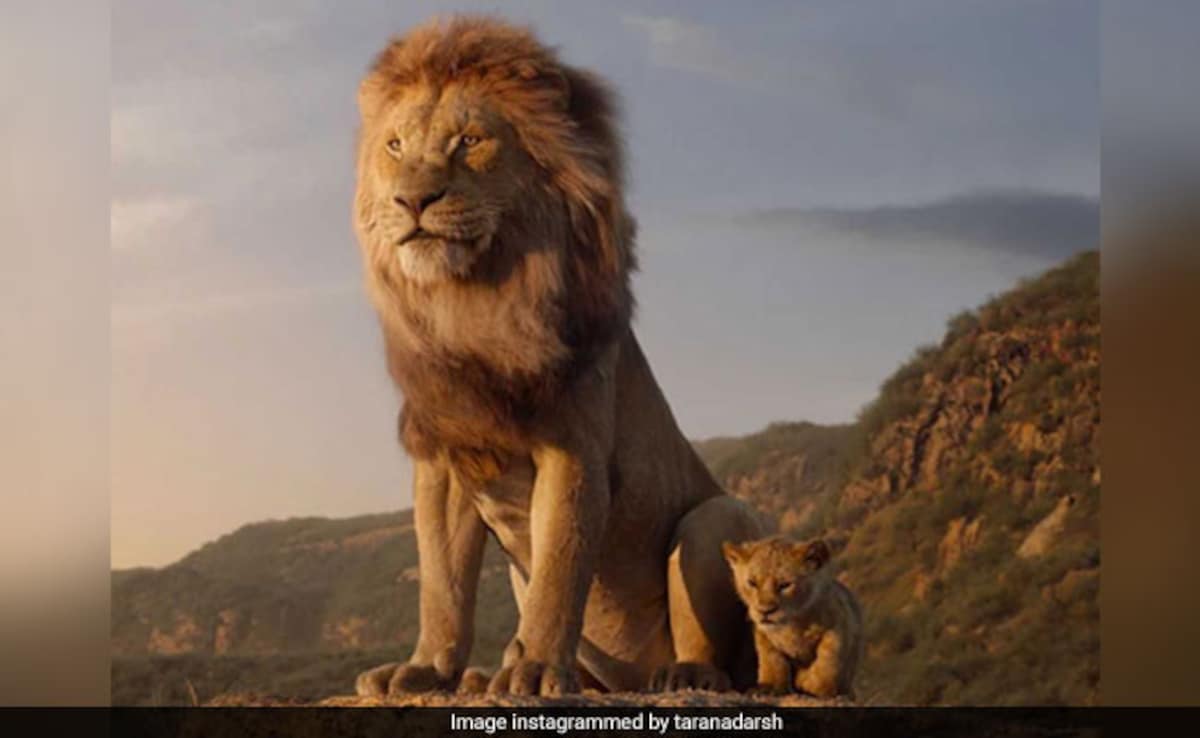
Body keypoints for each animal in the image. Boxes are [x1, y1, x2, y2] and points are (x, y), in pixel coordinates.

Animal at [349, 16, 767, 697]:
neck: (473, 304)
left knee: (717, 650)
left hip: (716, 518)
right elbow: (442, 583)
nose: (412, 201)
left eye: (469, 141)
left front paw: (537, 668)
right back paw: (483, 676)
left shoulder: (573, 448)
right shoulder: (445, 457)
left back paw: (682, 674)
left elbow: (559, 572)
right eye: (394, 146)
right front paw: (426, 668)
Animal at [722, 537, 864, 699]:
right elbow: (771, 659)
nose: (765, 611)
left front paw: (814, 687)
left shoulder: (839, 624)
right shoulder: (764, 634)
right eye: (752, 583)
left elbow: (828, 658)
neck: (791, 624)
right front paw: (769, 687)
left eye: (785, 585)